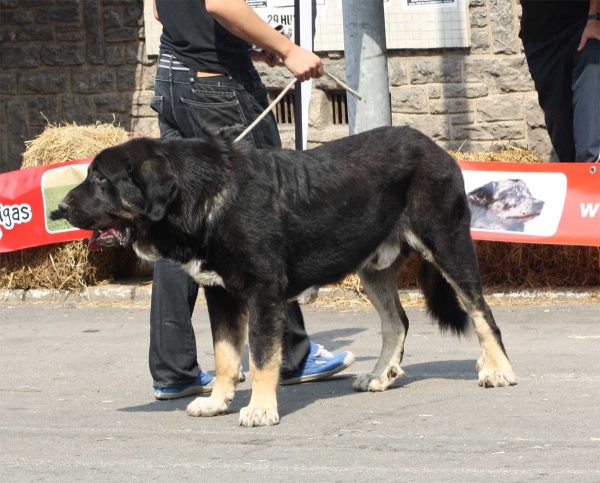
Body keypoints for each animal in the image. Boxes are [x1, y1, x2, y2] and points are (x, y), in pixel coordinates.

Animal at [57, 125, 516, 428]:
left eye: (100, 178)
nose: (60, 207)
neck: (203, 196)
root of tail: (435, 147)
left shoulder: (263, 292)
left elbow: (262, 357)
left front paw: (261, 408)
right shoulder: (220, 294)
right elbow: (225, 355)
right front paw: (218, 401)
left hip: (448, 245)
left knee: (483, 314)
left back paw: (498, 370)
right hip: (373, 267)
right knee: (397, 322)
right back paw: (381, 374)